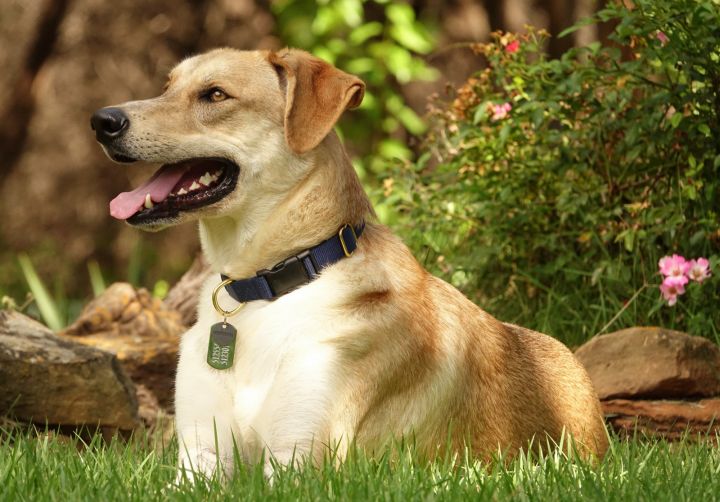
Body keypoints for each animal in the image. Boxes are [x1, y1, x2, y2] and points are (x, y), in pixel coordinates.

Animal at [91, 48, 608, 478]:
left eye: (215, 94)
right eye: (167, 86)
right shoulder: (200, 457)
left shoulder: (298, 460)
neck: (264, 290)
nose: (101, 120)